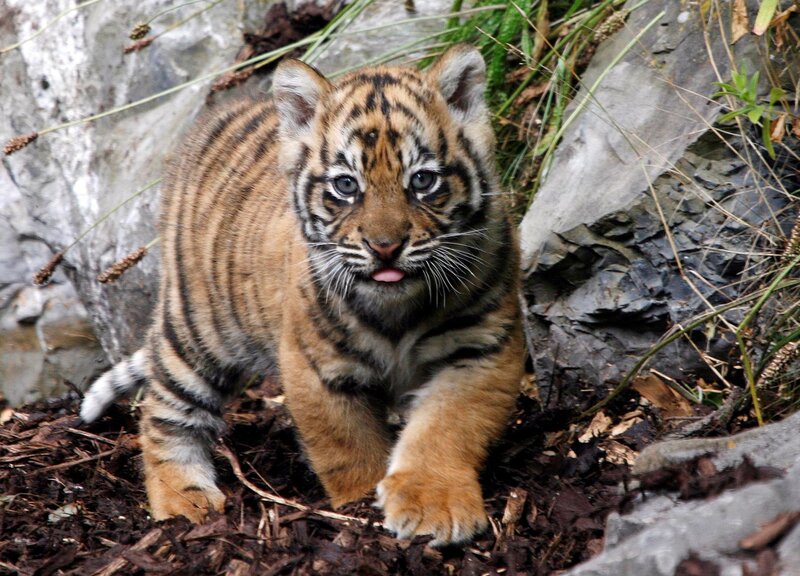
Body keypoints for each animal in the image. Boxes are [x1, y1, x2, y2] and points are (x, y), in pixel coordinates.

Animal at [79, 44, 524, 546]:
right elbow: (346, 446)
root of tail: (218, 113)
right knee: (163, 411)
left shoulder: (482, 347)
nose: (385, 247)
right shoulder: (316, 366)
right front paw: (359, 504)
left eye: (423, 181)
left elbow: (449, 427)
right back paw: (183, 500)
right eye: (346, 185)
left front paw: (433, 503)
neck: (398, 308)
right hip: (200, 330)